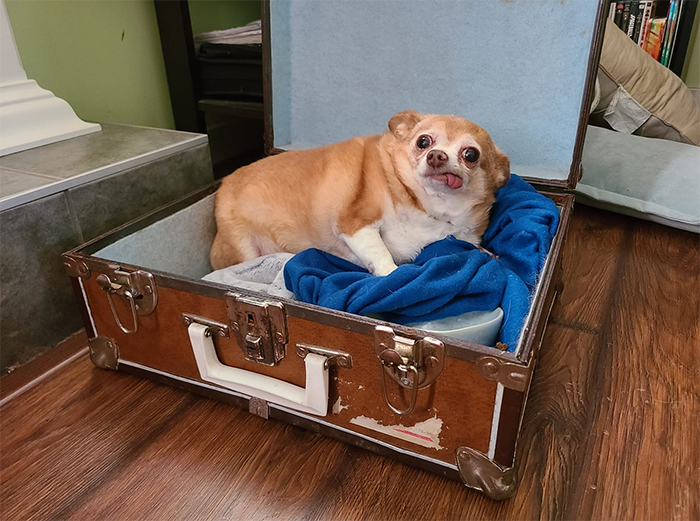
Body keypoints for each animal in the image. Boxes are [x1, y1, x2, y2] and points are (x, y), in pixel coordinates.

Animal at [209, 110, 508, 276]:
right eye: (423, 141)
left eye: (471, 155)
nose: (436, 155)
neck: (428, 208)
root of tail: (224, 184)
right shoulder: (354, 224)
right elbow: (381, 254)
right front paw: (392, 275)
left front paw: (489, 254)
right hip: (242, 245)